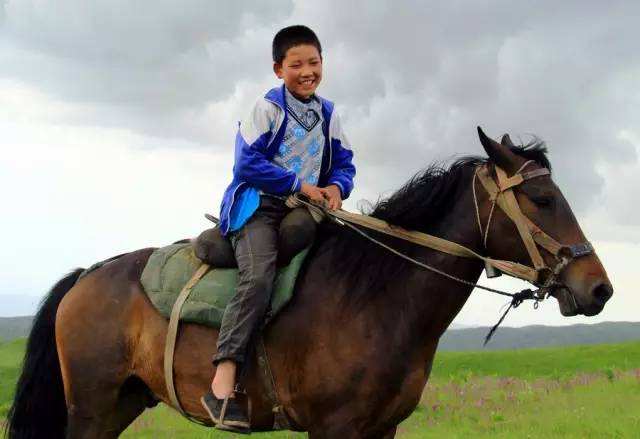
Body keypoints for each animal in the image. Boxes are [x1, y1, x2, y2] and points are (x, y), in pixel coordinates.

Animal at [5, 129, 613, 439]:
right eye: (542, 199)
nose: (599, 289)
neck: (376, 298)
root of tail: (86, 276)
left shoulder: (379, 432)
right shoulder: (333, 430)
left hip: (122, 403)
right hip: (91, 406)